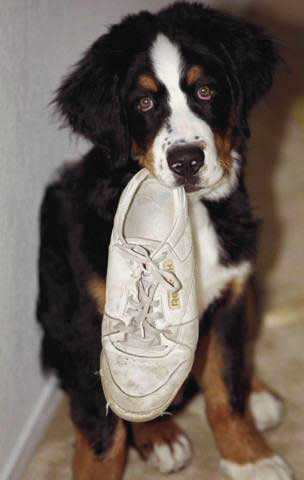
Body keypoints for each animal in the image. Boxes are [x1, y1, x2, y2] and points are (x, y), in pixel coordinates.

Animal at [36, 1, 290, 478]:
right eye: (144, 102)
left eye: (206, 91)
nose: (186, 161)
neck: (185, 213)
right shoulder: (90, 325)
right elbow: (104, 433)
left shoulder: (230, 295)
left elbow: (225, 387)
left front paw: (250, 458)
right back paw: (160, 435)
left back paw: (259, 395)